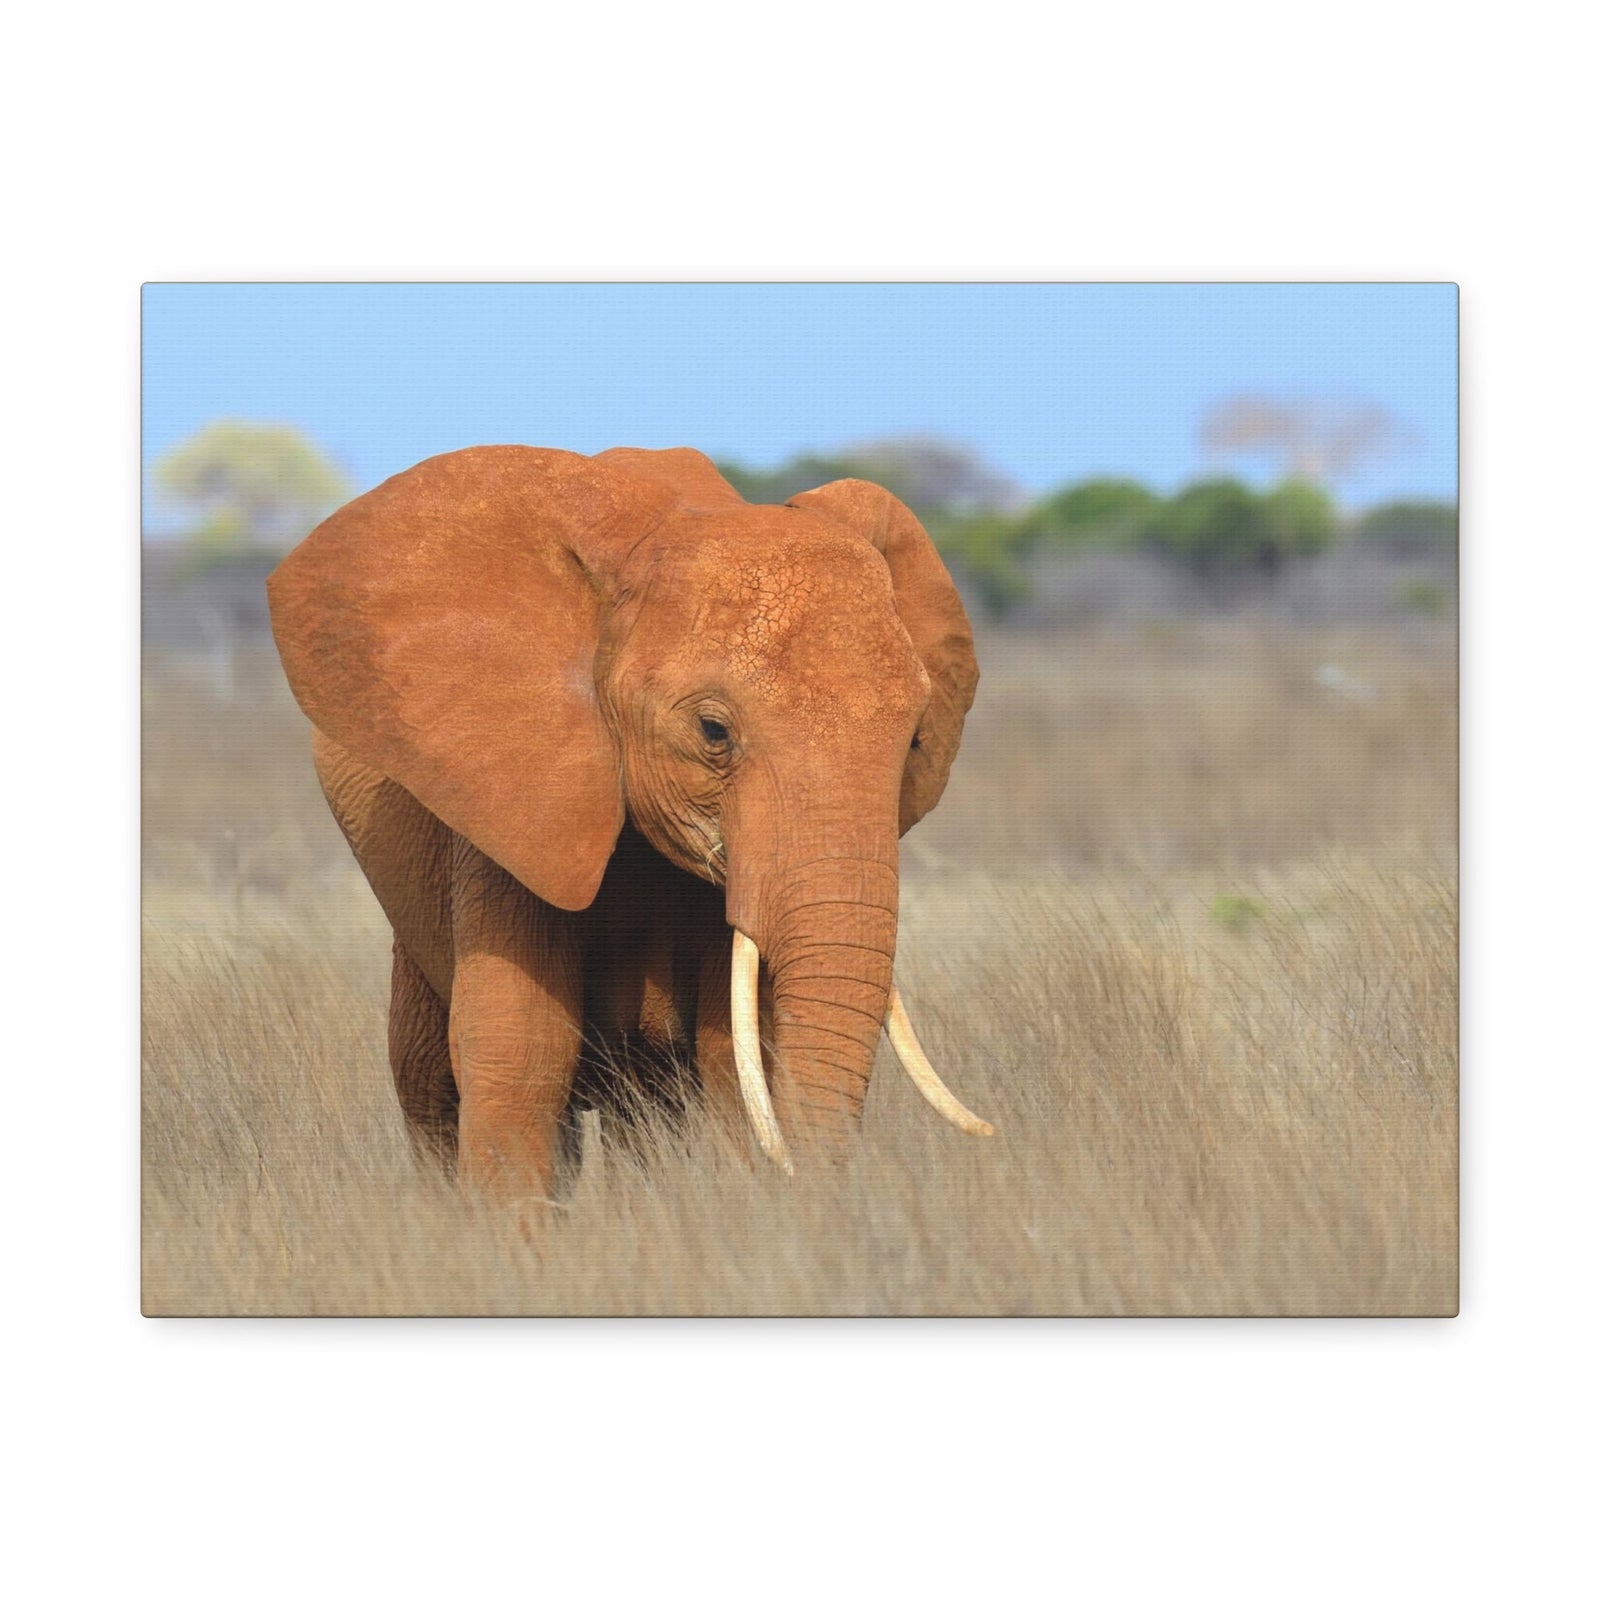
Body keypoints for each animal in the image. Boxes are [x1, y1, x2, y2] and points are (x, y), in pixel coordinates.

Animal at [267, 443, 991, 1197]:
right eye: (712, 731)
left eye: (915, 741)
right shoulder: (501, 799)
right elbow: (520, 1046)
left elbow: (733, 1052)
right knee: (429, 1081)